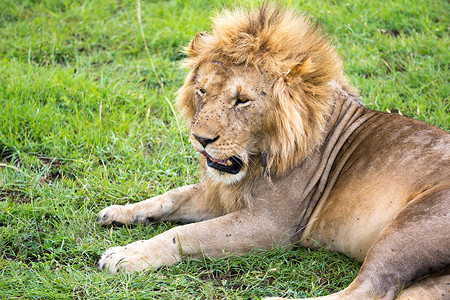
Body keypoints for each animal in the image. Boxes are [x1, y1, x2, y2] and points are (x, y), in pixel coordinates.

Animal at [96, 2, 448, 300]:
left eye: (242, 100)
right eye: (202, 91)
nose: (201, 139)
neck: (258, 159)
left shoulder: (270, 225)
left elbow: (188, 234)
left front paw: (127, 254)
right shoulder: (224, 195)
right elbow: (172, 197)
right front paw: (120, 212)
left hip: (407, 228)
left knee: (370, 290)